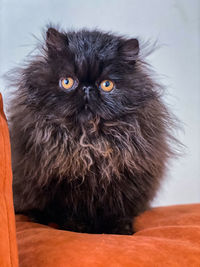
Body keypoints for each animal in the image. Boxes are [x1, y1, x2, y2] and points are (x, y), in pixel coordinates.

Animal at [7, 27, 177, 236]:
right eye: (67, 82)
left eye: (107, 85)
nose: (87, 88)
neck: (88, 141)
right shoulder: (63, 185)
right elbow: (71, 213)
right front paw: (77, 228)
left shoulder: (124, 183)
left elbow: (118, 212)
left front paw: (120, 230)